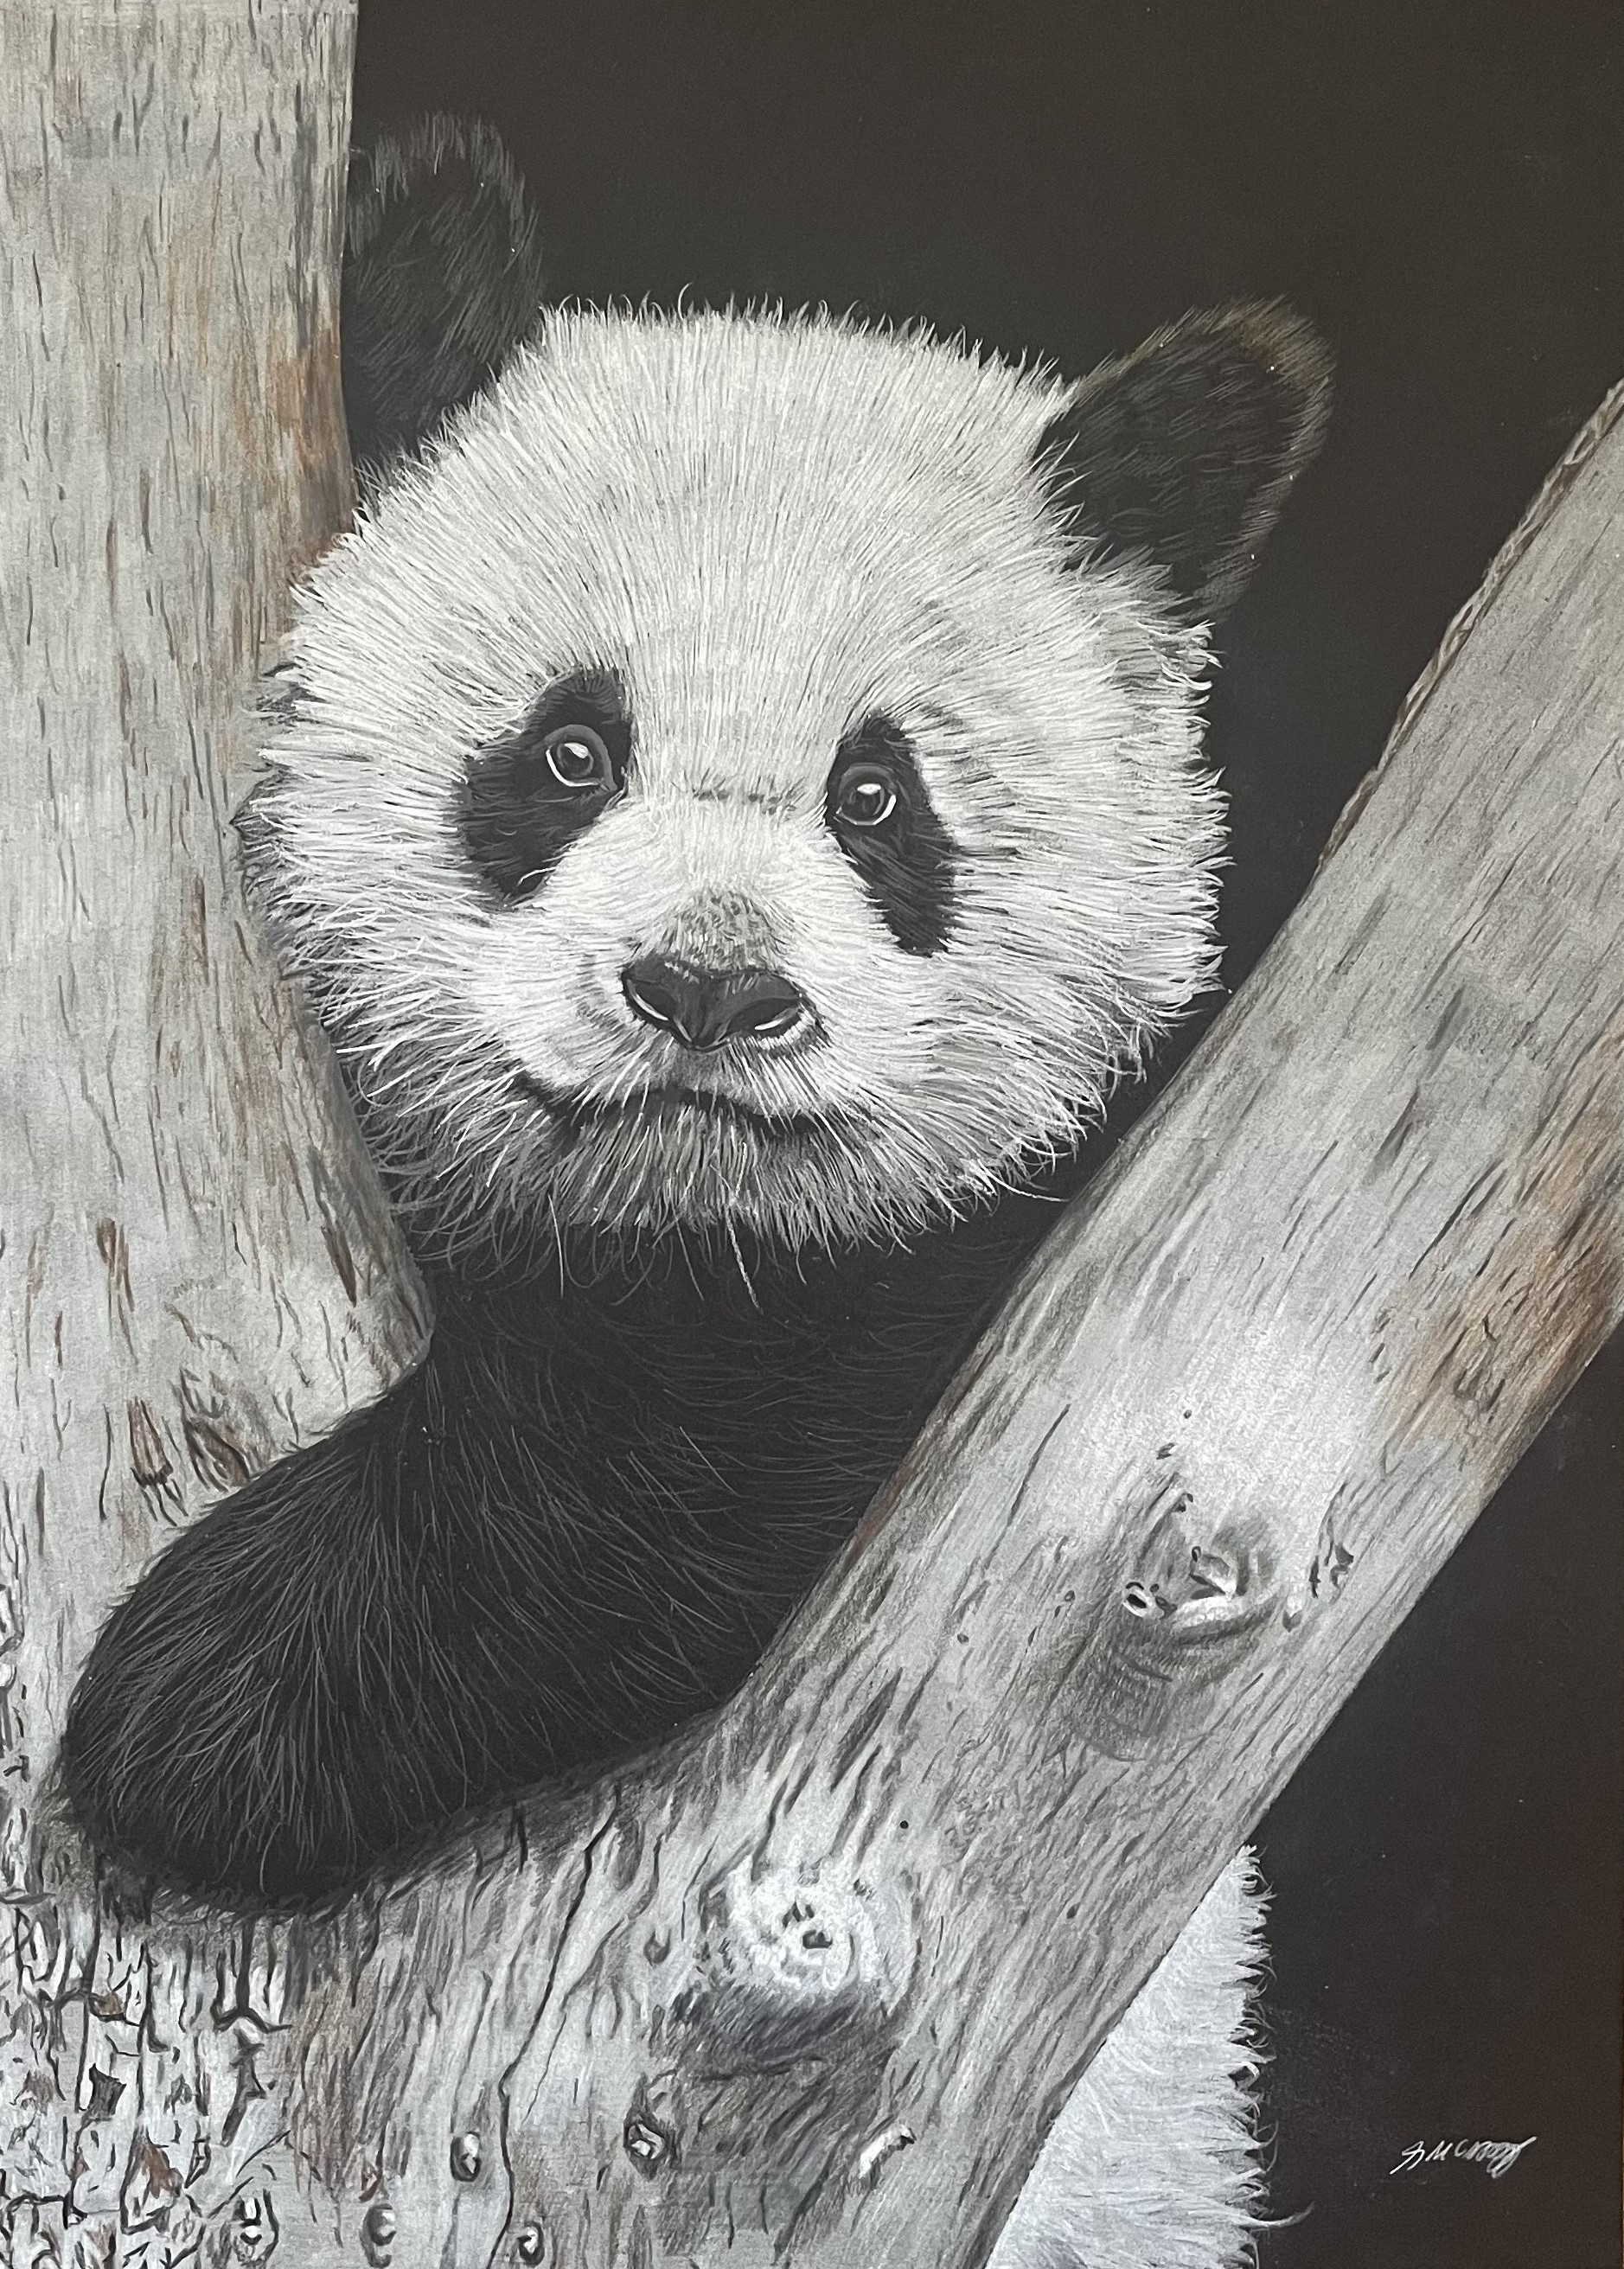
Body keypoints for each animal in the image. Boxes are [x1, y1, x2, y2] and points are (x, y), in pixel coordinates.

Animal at [60, 117, 1329, 2267]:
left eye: (878, 798)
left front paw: (197, 1706)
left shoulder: (1020, 1240)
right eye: (571, 748)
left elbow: (697, 1458)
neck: (663, 1208)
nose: (713, 990)